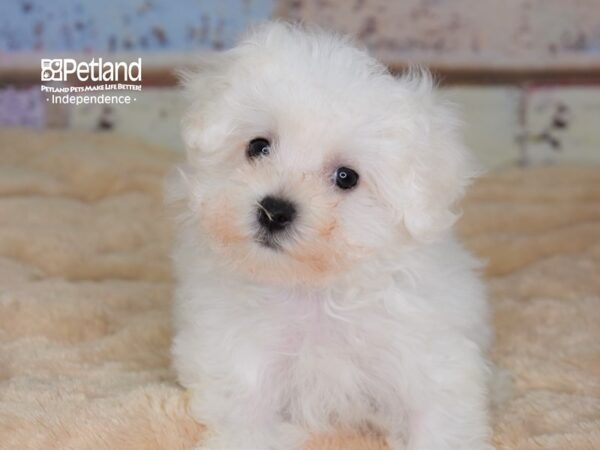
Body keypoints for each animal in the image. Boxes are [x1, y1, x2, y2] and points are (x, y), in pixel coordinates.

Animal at [170, 22, 492, 450]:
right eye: (258, 146)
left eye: (346, 177)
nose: (273, 211)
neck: (314, 291)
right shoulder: (239, 358)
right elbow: (247, 416)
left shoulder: (429, 357)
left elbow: (436, 415)